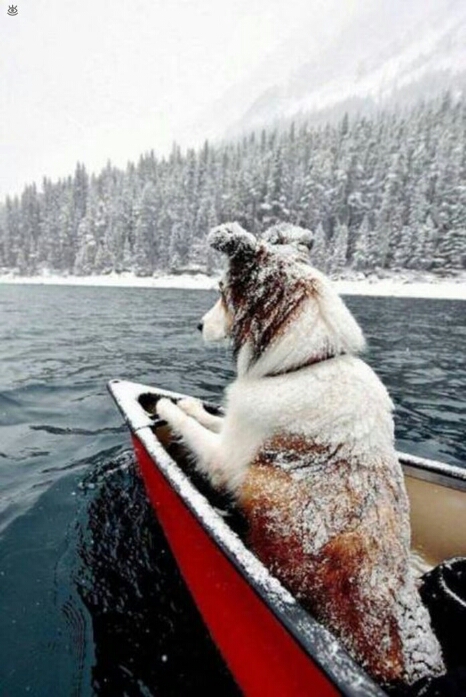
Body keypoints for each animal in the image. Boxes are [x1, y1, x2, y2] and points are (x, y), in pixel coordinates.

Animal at [157, 222, 444, 684]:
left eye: (220, 289)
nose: (197, 325)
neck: (305, 365)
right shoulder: (238, 432)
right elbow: (212, 418)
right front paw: (189, 404)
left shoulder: (227, 462)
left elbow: (195, 432)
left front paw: (167, 406)